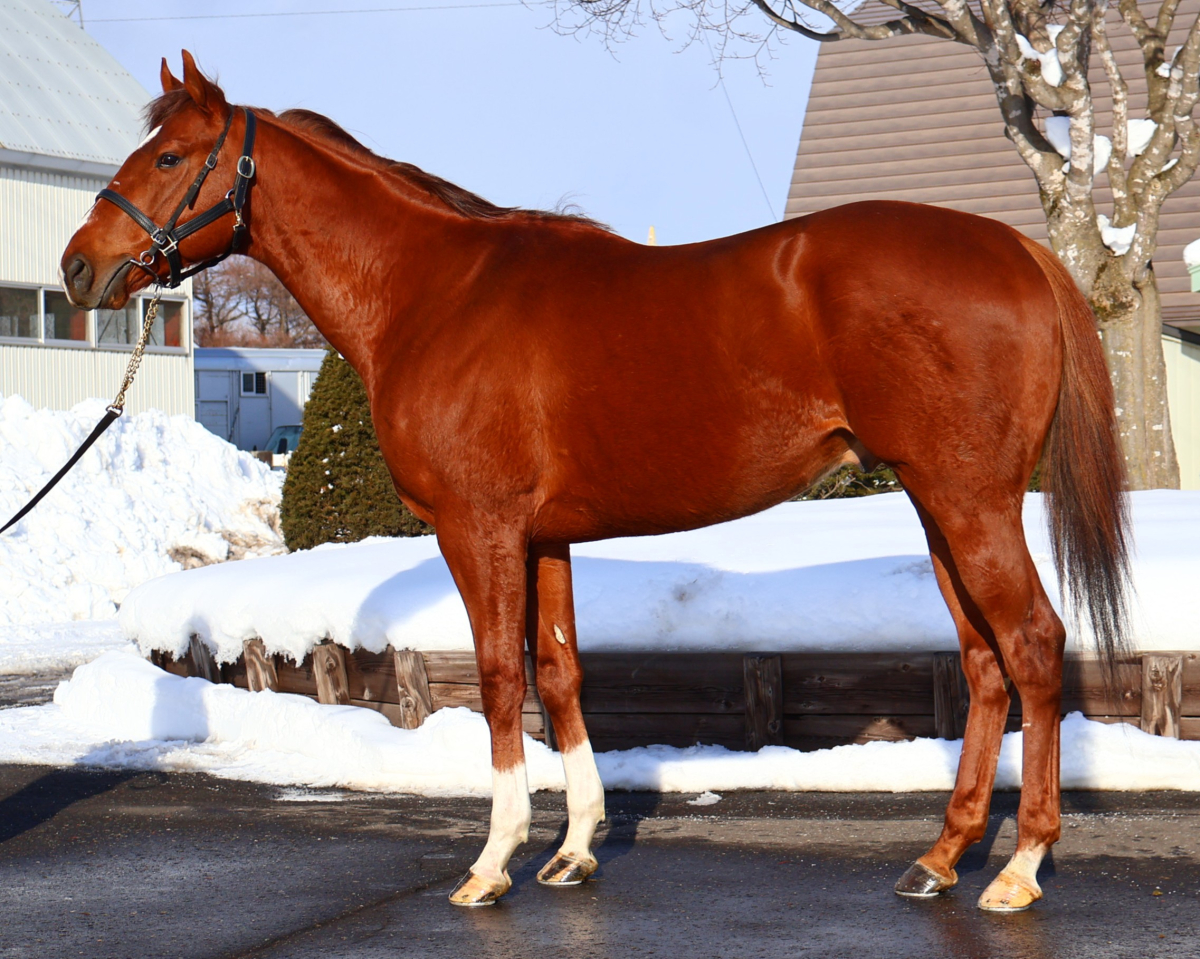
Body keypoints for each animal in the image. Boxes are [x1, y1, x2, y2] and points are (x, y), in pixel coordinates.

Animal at [62, 52, 1130, 913]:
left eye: (169, 158)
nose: (79, 269)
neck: (435, 294)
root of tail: (1018, 249)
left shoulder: (479, 529)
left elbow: (502, 677)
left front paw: (491, 862)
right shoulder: (545, 537)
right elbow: (563, 673)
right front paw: (573, 849)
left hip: (968, 500)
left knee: (1033, 645)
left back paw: (1019, 868)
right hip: (937, 503)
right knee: (985, 661)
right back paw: (941, 856)